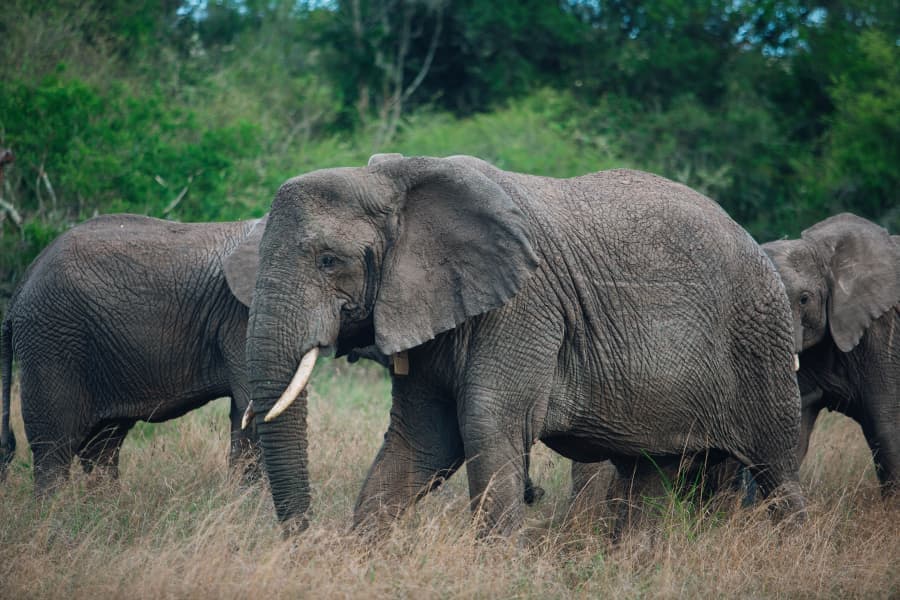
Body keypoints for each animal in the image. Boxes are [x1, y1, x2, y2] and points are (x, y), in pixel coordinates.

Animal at [0, 214, 269, 492]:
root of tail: (19, 290)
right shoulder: (238, 318)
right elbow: (249, 408)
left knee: (103, 443)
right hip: (52, 339)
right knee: (54, 446)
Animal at [226, 153, 806, 537]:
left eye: (328, 261)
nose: (305, 539)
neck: (396, 183)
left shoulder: (523, 305)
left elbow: (487, 424)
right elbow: (423, 440)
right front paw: (361, 555)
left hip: (761, 337)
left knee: (776, 466)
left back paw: (791, 549)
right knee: (651, 468)